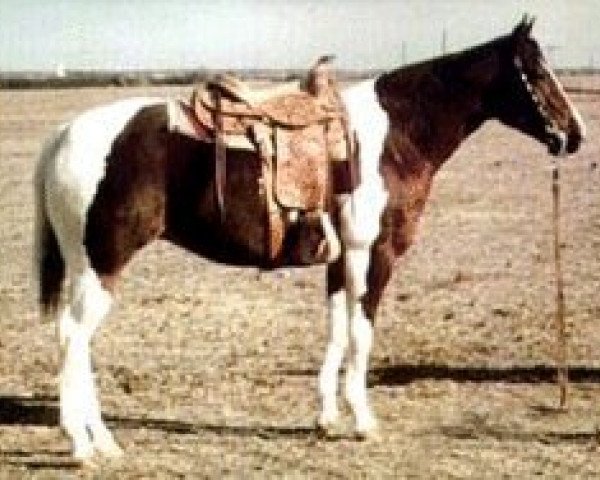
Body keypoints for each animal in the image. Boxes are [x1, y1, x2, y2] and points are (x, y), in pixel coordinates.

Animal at [35, 17, 584, 462]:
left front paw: (326, 418)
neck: (394, 137)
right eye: (537, 72)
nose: (574, 136)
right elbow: (361, 333)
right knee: (74, 337)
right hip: (102, 263)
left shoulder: (339, 261)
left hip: (87, 268)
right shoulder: (372, 255)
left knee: (72, 337)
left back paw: (101, 441)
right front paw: (363, 421)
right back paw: (85, 445)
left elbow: (337, 331)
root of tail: (63, 134)